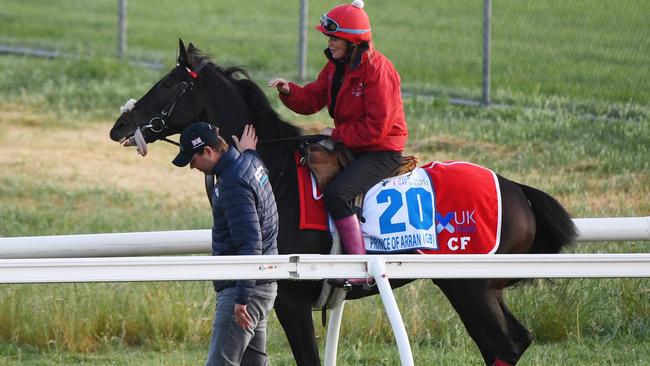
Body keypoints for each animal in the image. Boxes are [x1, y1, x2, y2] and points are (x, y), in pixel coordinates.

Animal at [109, 40, 576, 366]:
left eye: (168, 84)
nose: (120, 125)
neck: (274, 170)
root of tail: (517, 190)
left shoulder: (291, 300)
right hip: (482, 289)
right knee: (511, 342)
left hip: (469, 287)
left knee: (505, 344)